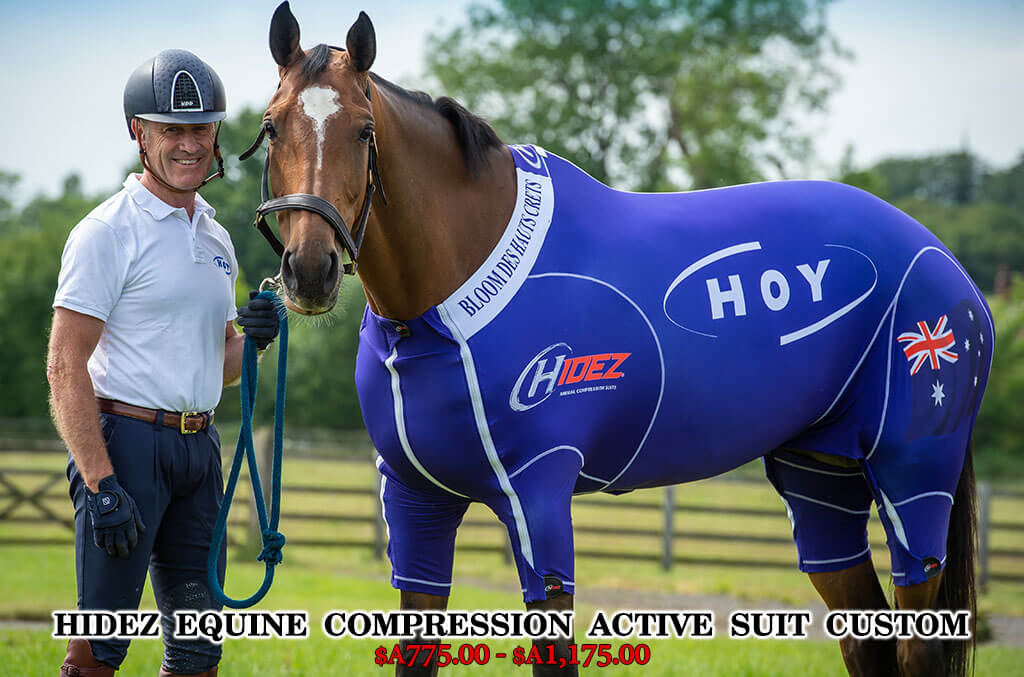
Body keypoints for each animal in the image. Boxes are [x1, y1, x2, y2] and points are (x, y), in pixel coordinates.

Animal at [243, 4, 991, 675]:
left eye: (364, 131)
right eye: (272, 126)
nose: (309, 269)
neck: (442, 307)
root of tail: (938, 254)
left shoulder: (538, 497)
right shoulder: (415, 504)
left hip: (913, 481)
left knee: (919, 641)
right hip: (821, 480)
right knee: (866, 640)